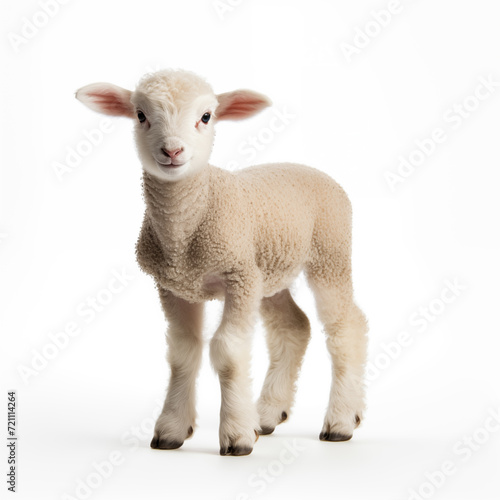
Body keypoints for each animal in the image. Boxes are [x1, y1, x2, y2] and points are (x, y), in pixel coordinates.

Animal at [76, 69, 370, 458]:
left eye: (206, 117)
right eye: (140, 115)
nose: (172, 151)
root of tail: (310, 169)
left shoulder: (238, 277)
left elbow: (228, 350)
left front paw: (236, 434)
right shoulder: (175, 286)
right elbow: (183, 352)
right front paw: (172, 429)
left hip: (329, 254)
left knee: (346, 327)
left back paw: (341, 420)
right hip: (268, 271)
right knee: (294, 327)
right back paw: (267, 414)